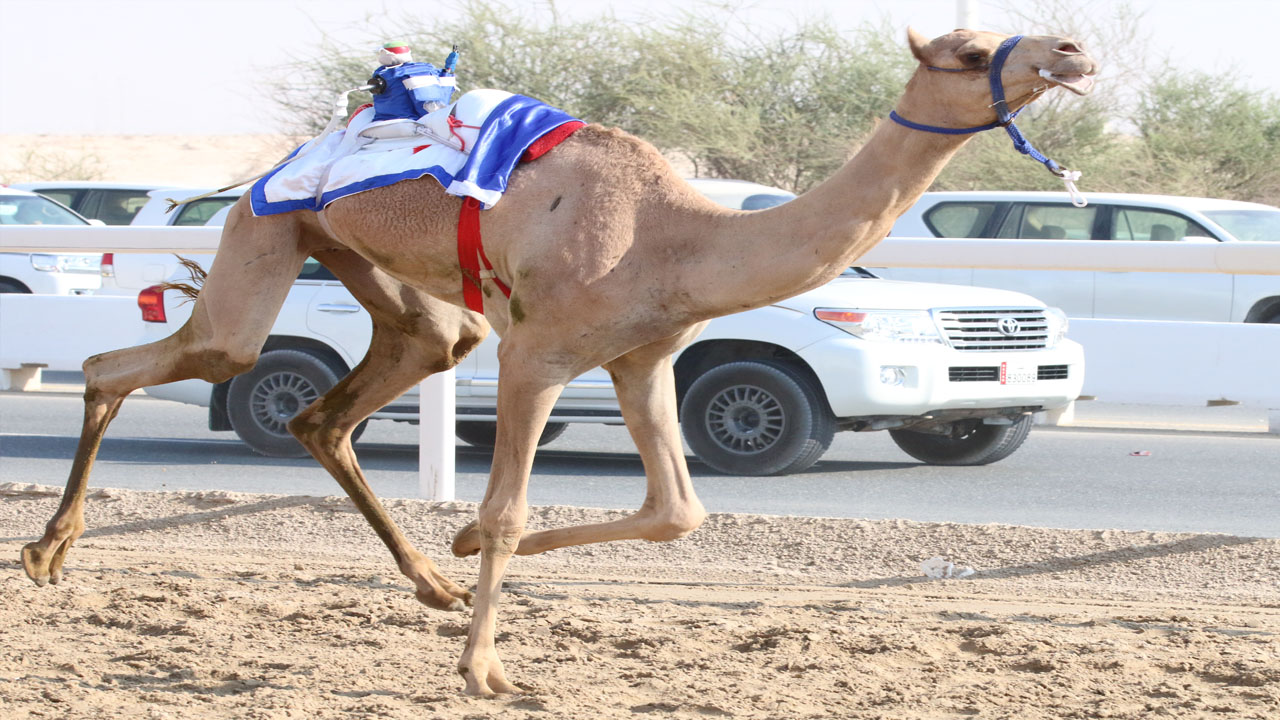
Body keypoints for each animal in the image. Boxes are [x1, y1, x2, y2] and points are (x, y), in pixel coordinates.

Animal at [21, 29, 1096, 695]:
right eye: (968, 50)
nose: (1071, 49)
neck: (678, 237)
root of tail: (267, 171)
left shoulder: (640, 359)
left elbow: (676, 511)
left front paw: (461, 558)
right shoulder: (537, 353)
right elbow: (510, 509)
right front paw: (484, 669)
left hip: (380, 277)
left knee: (340, 400)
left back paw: (433, 582)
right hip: (268, 236)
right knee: (149, 360)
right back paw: (44, 552)